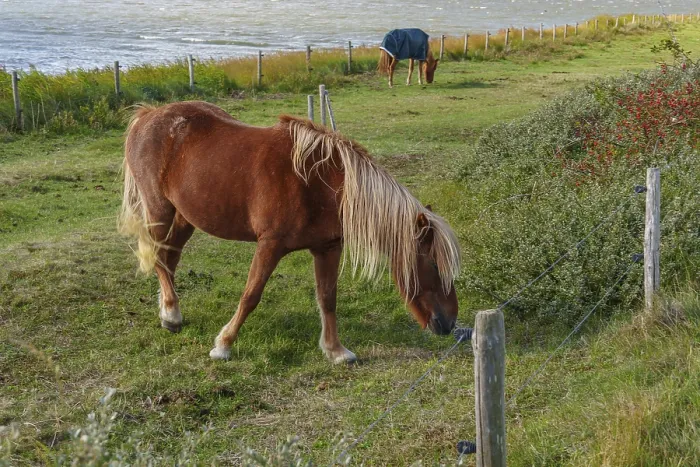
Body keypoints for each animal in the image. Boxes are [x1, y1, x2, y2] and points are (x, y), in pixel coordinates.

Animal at [118, 101, 461, 364]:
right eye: (433, 264)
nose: (449, 323)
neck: (319, 182)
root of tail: (148, 115)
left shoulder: (328, 248)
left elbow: (327, 298)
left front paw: (336, 351)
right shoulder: (270, 245)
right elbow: (251, 295)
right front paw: (224, 345)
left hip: (186, 217)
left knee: (170, 257)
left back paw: (168, 311)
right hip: (159, 210)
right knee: (160, 258)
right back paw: (172, 315)